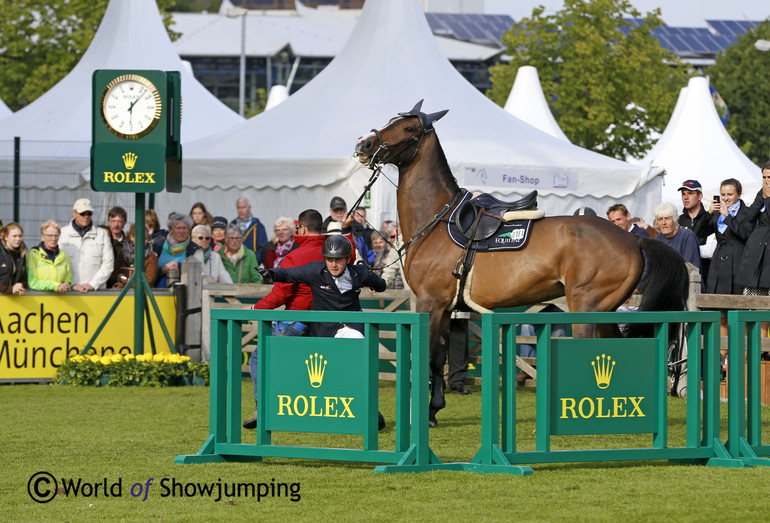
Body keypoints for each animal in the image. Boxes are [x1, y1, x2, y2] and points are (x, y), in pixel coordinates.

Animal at [354, 101, 684, 426]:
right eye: (391, 120)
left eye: (409, 128)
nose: (364, 143)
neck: (437, 221)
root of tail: (634, 239)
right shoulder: (445, 308)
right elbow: (438, 359)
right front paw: (435, 408)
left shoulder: (429, 303)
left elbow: (429, 357)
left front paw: (426, 415)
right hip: (603, 311)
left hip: (587, 309)